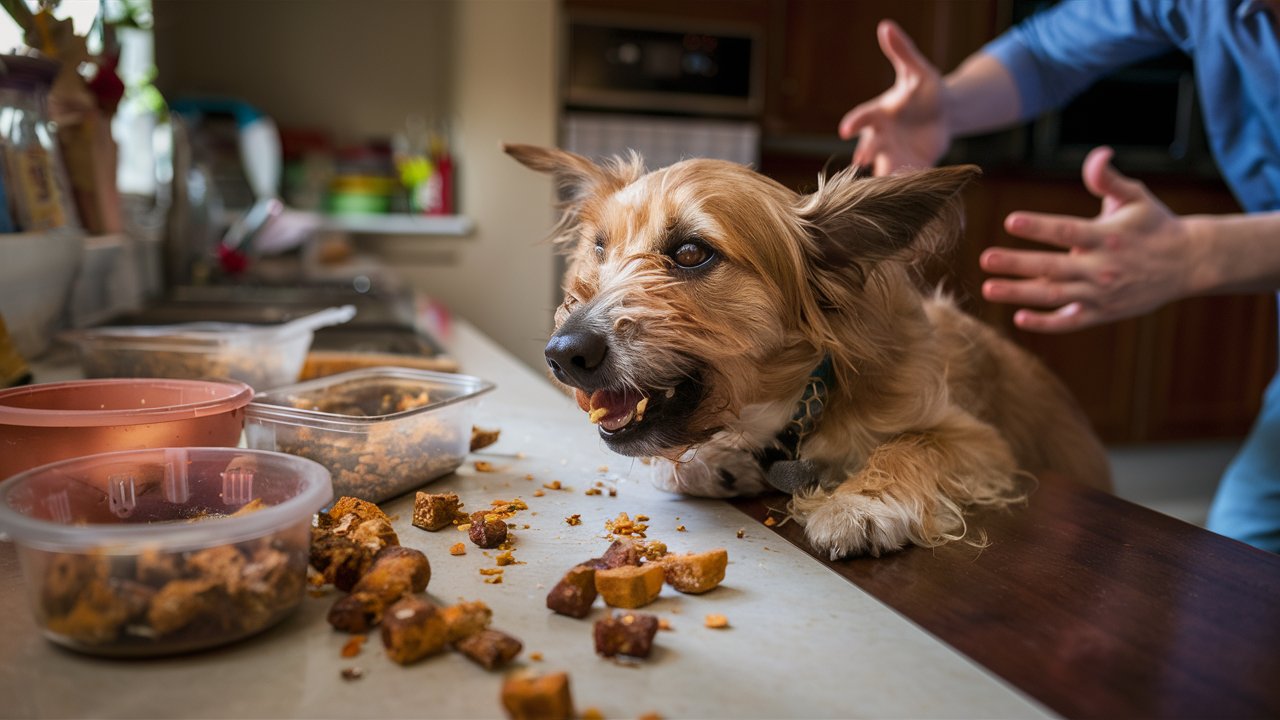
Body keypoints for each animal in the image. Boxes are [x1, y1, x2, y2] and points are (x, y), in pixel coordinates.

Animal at [504, 142, 1105, 558]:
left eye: (692, 252)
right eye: (599, 249)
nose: (562, 354)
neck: (801, 400)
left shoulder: (982, 442)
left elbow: (914, 444)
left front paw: (863, 503)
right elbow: (672, 466)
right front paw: (720, 466)